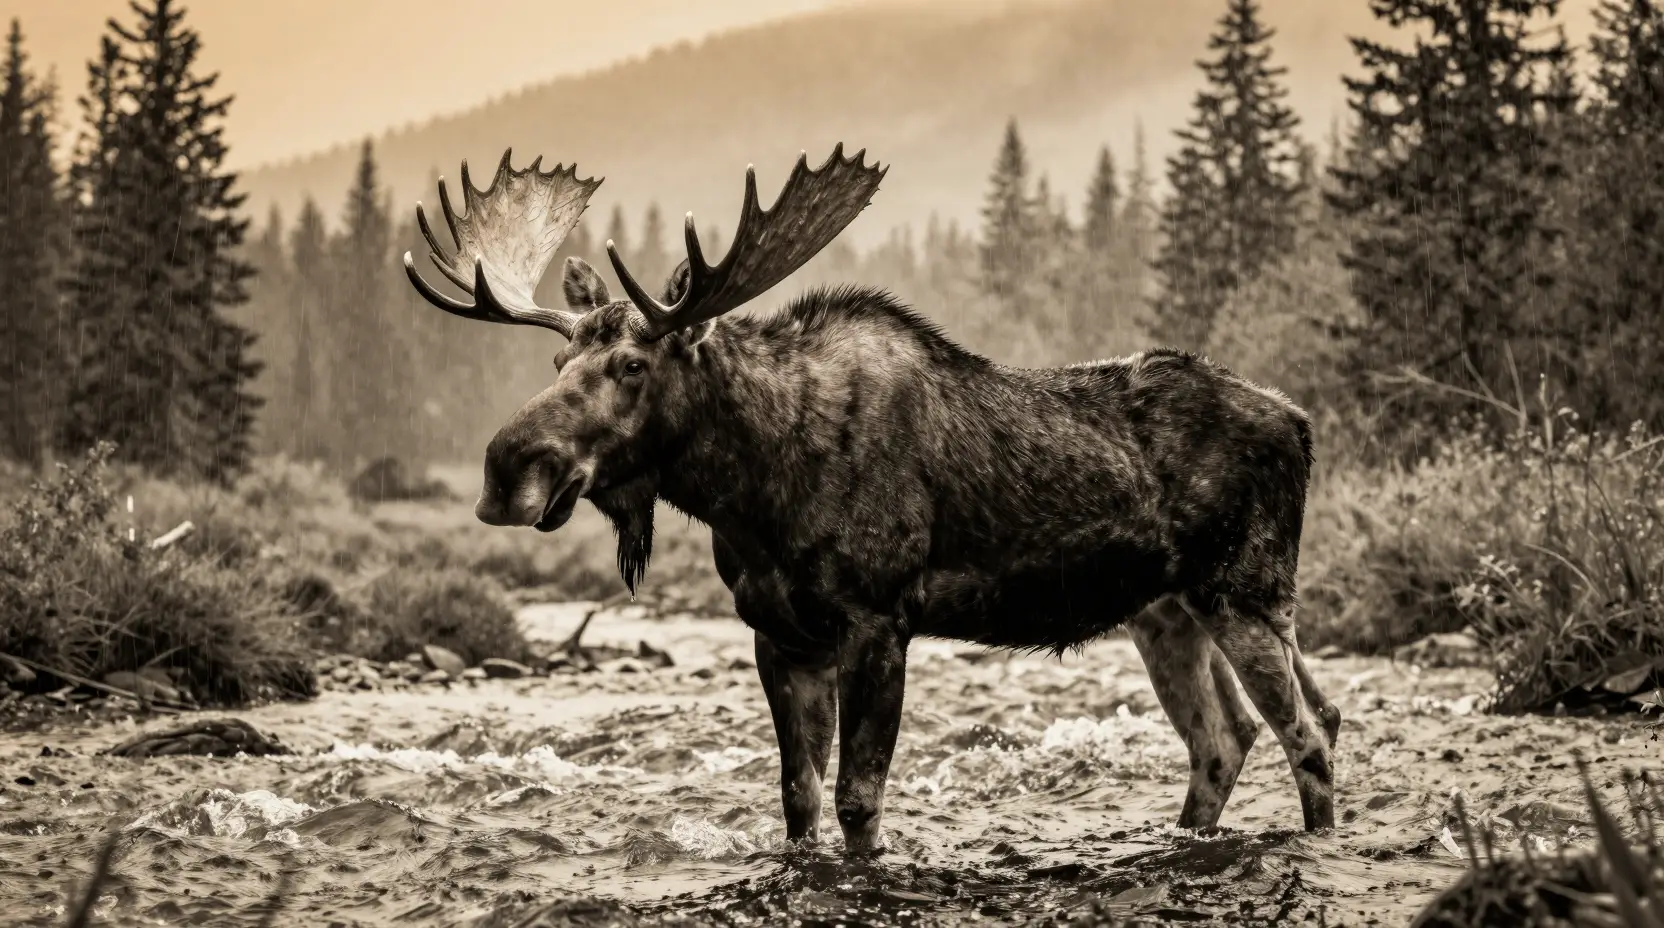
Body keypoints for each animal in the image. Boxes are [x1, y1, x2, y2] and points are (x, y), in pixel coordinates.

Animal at [402, 145, 1343, 855]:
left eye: (632, 366)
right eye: (557, 364)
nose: (504, 471)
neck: (753, 494)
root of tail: (1301, 422)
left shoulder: (878, 618)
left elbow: (859, 800)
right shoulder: (780, 634)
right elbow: (798, 800)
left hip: (1245, 591)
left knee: (1308, 733)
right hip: (1169, 609)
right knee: (1231, 737)